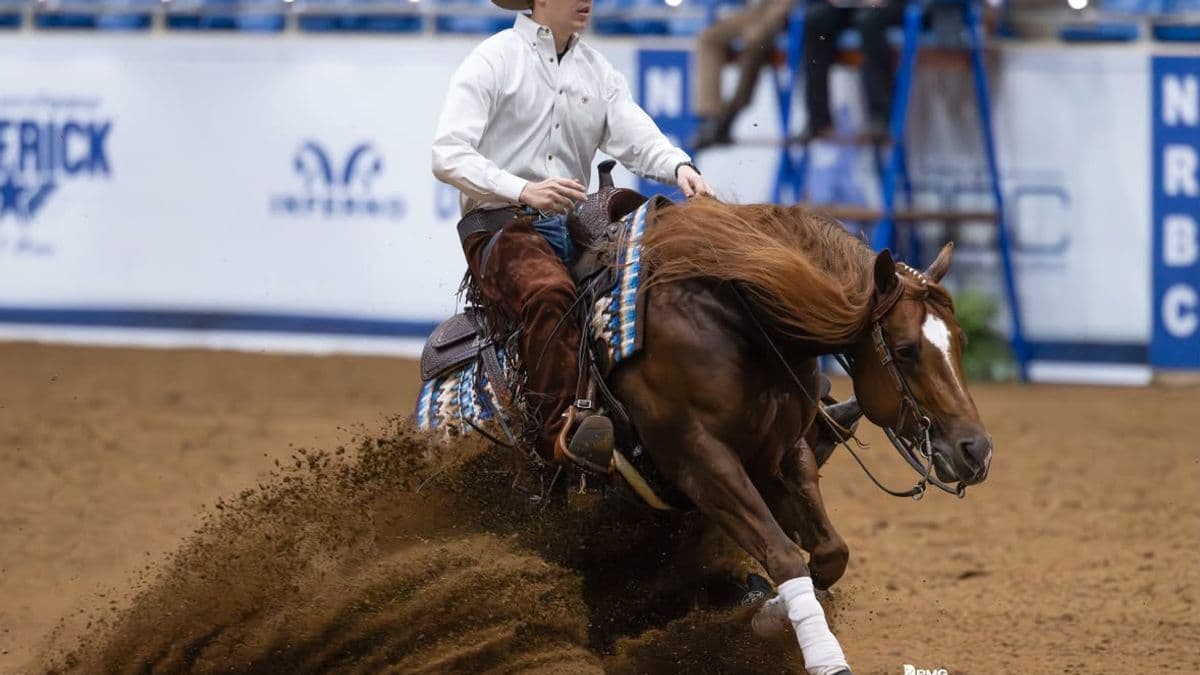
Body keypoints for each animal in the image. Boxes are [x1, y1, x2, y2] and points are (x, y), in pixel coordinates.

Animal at [421, 197, 992, 674]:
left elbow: (830, 552)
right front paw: (816, 651)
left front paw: (765, 605)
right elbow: (785, 553)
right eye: (905, 350)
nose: (977, 450)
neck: (740, 321)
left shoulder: (779, 457)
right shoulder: (700, 460)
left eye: (962, 341)